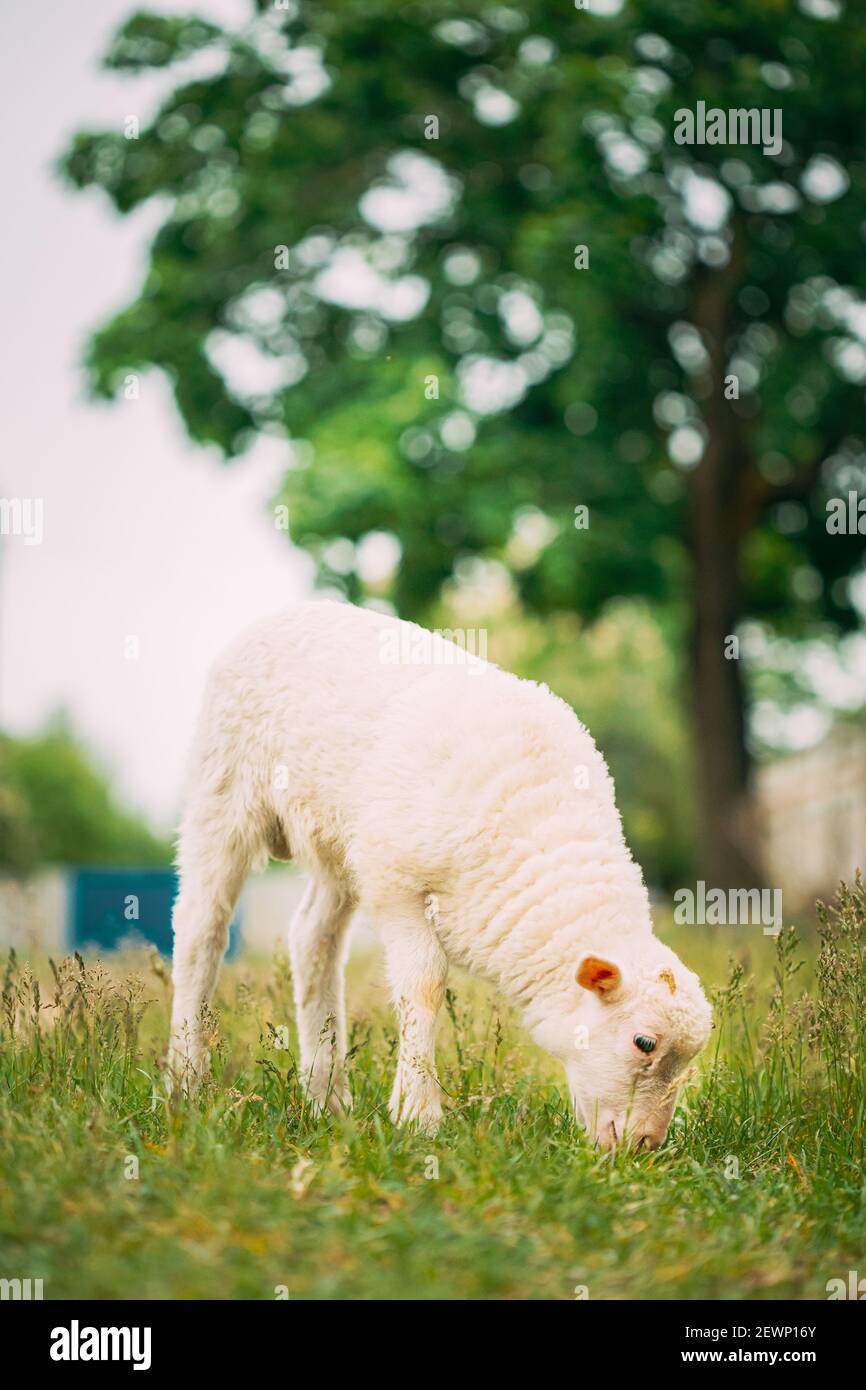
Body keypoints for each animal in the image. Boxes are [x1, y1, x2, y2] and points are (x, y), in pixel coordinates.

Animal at [169, 603, 711, 1145]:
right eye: (644, 1042)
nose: (644, 1145)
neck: (540, 824)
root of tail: (281, 613)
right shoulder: (396, 880)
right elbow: (425, 984)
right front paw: (418, 1114)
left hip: (336, 841)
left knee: (311, 939)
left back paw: (326, 1097)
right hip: (223, 790)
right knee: (200, 929)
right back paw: (185, 1083)